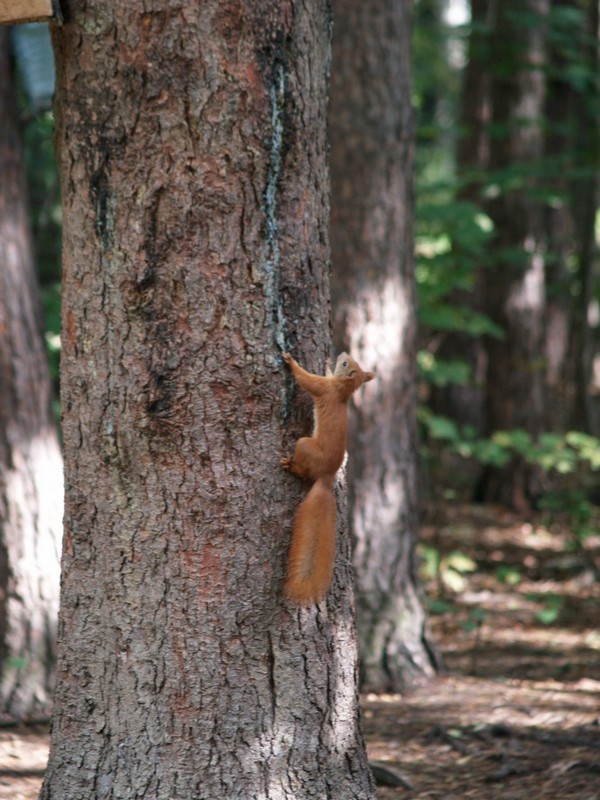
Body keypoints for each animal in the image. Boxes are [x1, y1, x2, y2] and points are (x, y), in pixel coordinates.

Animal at [280, 350, 372, 600]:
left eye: (346, 363)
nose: (342, 353)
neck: (342, 391)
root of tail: (328, 477)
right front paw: (327, 365)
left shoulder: (322, 388)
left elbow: (306, 380)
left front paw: (291, 362)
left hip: (305, 445)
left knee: (304, 473)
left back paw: (292, 466)